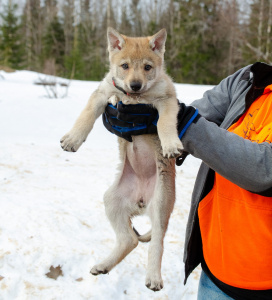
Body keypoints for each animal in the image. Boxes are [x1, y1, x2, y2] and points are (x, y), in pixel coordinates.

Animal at [60, 28, 184, 290]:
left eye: (147, 67)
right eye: (125, 66)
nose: (135, 85)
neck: (134, 100)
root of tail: (141, 201)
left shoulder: (167, 100)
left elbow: (165, 123)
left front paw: (170, 144)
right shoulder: (102, 95)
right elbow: (86, 115)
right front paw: (73, 139)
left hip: (161, 204)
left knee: (156, 243)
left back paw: (153, 277)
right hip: (112, 201)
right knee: (130, 240)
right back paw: (103, 265)